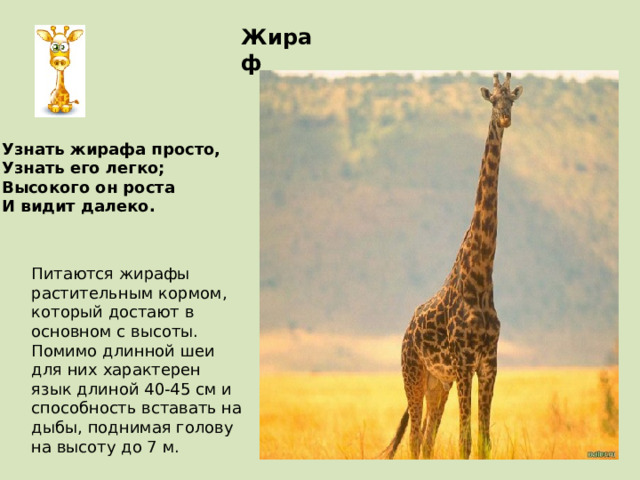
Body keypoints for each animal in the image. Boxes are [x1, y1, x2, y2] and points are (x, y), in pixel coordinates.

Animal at [380, 73, 523, 460]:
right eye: (493, 101)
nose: (505, 119)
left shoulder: (488, 362)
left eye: (513, 100)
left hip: (437, 384)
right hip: (413, 375)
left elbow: (484, 441)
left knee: (427, 442)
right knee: (415, 440)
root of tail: (406, 331)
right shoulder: (463, 360)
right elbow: (465, 442)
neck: (481, 277)